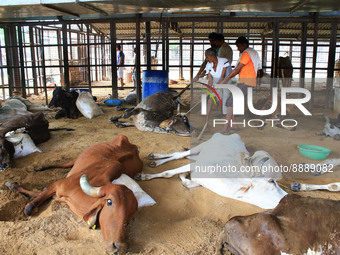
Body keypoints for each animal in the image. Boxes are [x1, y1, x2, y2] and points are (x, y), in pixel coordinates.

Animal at [5, 134, 143, 254]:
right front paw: (12, 185)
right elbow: (29, 207)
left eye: (131, 213)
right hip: (76, 158)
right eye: (110, 202)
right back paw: (40, 168)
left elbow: (39, 194)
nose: (119, 247)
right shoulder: (57, 185)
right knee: (62, 164)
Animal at [135, 133, 286, 209]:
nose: (286, 197)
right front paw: (143, 176)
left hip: (199, 154)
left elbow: (185, 182)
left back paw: (155, 160)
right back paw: (155, 159)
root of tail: (231, 135)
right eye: (271, 181)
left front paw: (183, 176)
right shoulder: (199, 165)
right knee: (180, 154)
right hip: (200, 147)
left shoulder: (198, 177)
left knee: (182, 155)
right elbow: (168, 173)